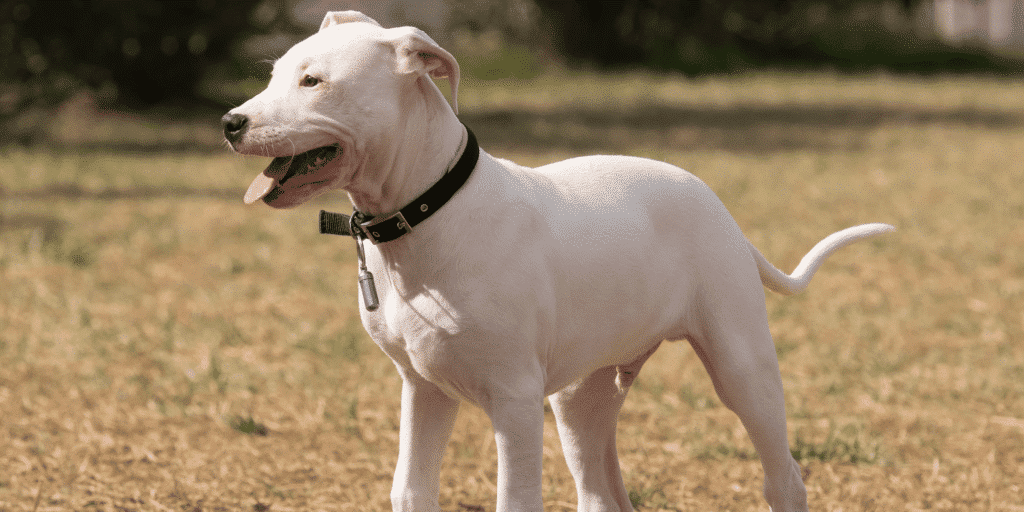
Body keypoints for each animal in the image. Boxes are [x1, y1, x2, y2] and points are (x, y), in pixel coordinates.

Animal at [222, 9, 888, 509]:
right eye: (275, 74)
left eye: (313, 82)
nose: (230, 122)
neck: (427, 215)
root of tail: (712, 200)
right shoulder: (423, 390)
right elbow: (410, 490)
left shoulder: (514, 402)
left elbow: (515, 500)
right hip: (580, 400)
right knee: (602, 493)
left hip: (741, 368)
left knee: (784, 478)